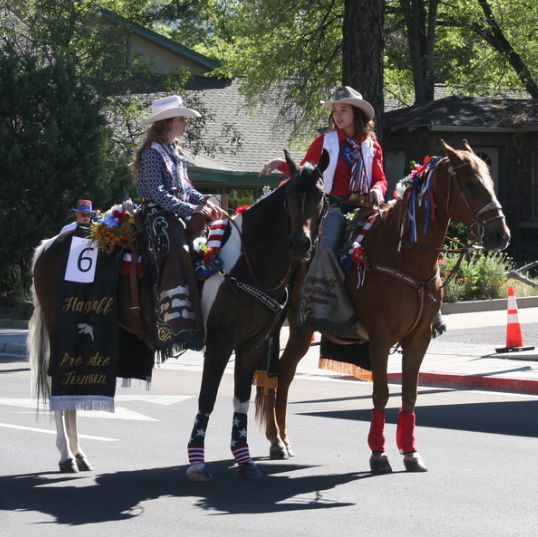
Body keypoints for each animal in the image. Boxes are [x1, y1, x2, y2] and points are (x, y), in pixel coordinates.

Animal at [29, 149, 326, 476]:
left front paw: (245, 461)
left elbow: (241, 401)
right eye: (289, 195)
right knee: (57, 381)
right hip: (63, 326)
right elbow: (207, 399)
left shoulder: (252, 346)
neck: (244, 262)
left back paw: (78, 453)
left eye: (320, 194)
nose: (300, 243)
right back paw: (65, 456)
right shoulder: (220, 344)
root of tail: (49, 244)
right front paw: (197, 462)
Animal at [255, 139, 506, 474]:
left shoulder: (418, 339)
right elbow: (381, 393)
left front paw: (411, 452)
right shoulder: (379, 336)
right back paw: (277, 441)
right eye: (470, 183)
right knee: (279, 374)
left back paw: (280, 439)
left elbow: (410, 394)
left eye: (490, 180)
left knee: (282, 374)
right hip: (294, 325)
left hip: (301, 329)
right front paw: (378, 454)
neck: (404, 255)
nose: (501, 234)